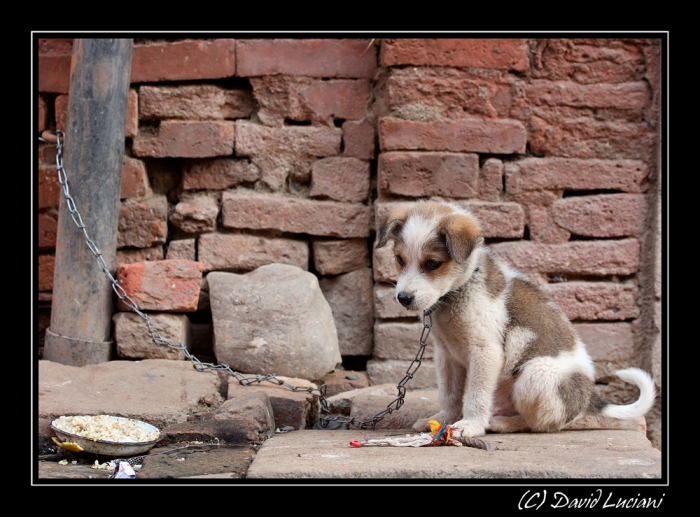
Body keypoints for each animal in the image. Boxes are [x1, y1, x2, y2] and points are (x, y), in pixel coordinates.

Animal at [378, 200, 656, 438]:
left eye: (432, 264)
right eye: (400, 260)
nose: (403, 298)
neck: (458, 290)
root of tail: (588, 398)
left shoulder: (485, 352)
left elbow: (476, 394)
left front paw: (470, 426)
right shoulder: (446, 355)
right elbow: (449, 394)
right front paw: (443, 419)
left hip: (535, 376)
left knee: (542, 424)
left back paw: (502, 423)